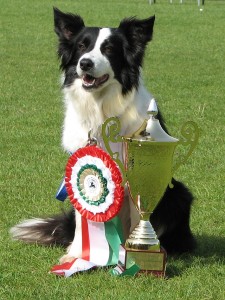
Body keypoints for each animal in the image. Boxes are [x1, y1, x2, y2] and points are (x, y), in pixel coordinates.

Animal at [11, 8, 196, 258]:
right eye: (81, 46)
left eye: (109, 49)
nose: (85, 63)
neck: (101, 109)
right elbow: (83, 219)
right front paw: (78, 254)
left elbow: (138, 217)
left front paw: (134, 255)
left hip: (179, 194)